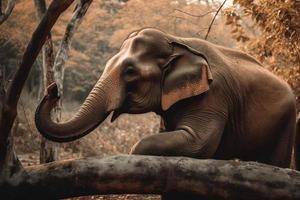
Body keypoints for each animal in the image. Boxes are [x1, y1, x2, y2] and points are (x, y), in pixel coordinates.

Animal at [35, 27, 298, 169]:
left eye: (130, 72)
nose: (53, 88)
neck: (178, 41)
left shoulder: (214, 96)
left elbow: (197, 144)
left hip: (287, 123)